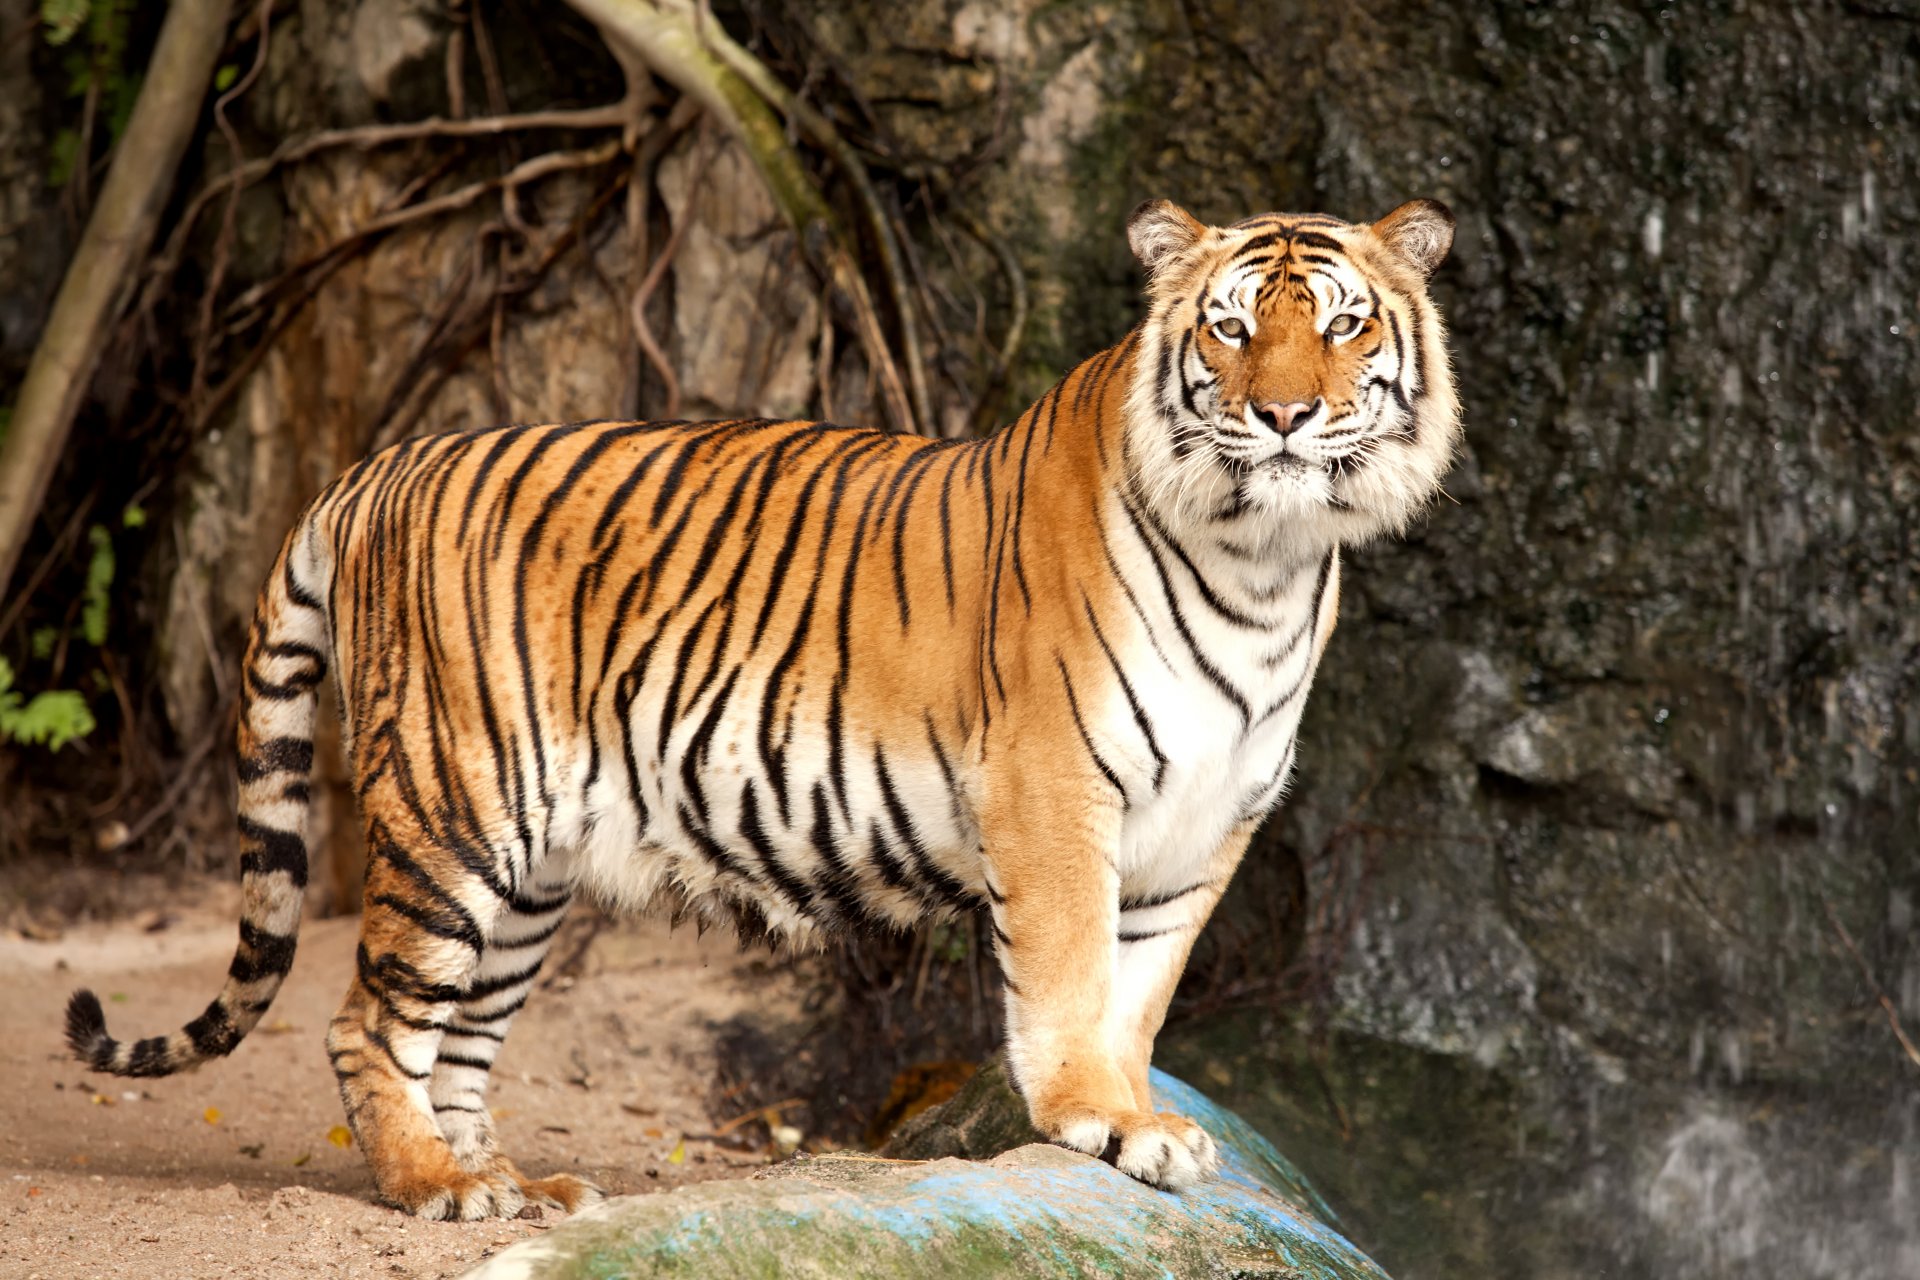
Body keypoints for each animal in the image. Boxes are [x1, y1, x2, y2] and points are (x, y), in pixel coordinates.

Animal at [64, 196, 1459, 1219]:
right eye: (1229, 330)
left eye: (1344, 326)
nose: (1285, 415)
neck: (1268, 559)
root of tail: (374, 467)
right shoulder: (1056, 786)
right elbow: (1070, 973)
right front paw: (1097, 1118)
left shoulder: (1211, 818)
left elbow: (1141, 989)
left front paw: (1137, 1118)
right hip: (454, 808)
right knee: (369, 1022)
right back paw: (432, 1188)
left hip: (531, 873)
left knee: (458, 1038)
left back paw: (506, 1180)